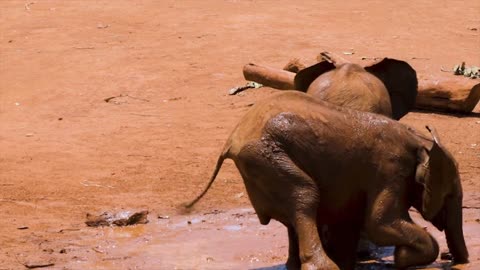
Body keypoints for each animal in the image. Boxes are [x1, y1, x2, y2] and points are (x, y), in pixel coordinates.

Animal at [188, 91, 468, 270]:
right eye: (450, 194)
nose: (458, 261)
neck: (421, 141)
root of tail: (234, 137)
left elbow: (353, 220)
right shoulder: (391, 170)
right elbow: (379, 223)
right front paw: (404, 258)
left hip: (263, 163)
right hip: (265, 157)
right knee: (305, 195)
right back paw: (323, 267)